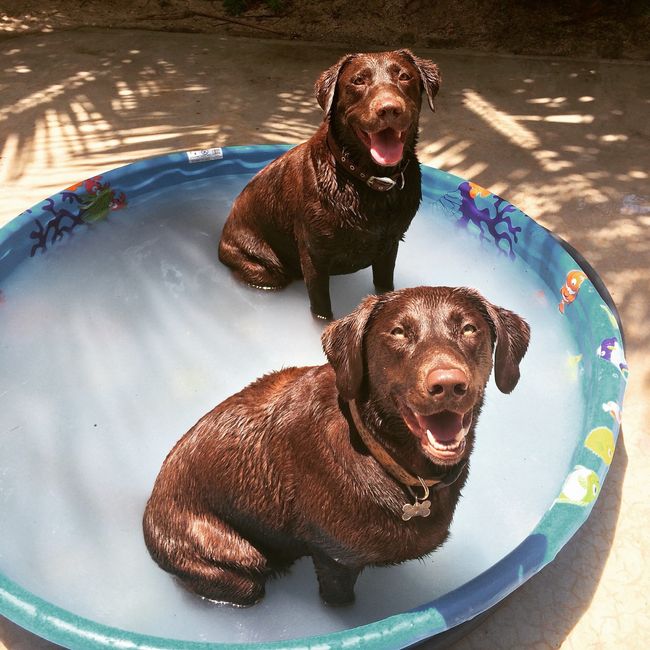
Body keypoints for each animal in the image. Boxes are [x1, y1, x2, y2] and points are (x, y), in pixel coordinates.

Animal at [143, 286, 530, 606]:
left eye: (469, 329)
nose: (448, 384)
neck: (386, 457)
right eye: (398, 332)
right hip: (234, 559)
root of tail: (148, 507)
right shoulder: (335, 559)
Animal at [218, 50, 441, 319]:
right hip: (262, 266)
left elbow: (384, 285)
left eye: (405, 76)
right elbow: (321, 309)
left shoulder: (390, 246)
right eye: (358, 81)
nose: (389, 109)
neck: (366, 181)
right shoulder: (314, 257)